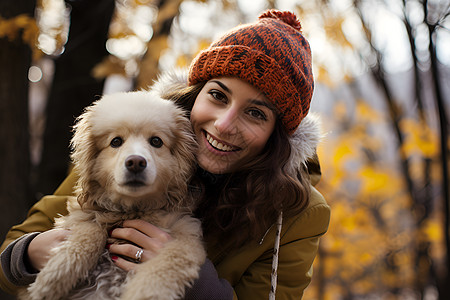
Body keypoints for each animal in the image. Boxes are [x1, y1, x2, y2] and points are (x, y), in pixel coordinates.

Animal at [20, 90, 205, 298]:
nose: (135, 162)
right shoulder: (81, 217)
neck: (132, 210)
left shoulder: (187, 237)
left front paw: (145, 292)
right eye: (116, 141)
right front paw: (54, 276)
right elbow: (90, 229)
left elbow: (166, 263)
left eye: (156, 141)